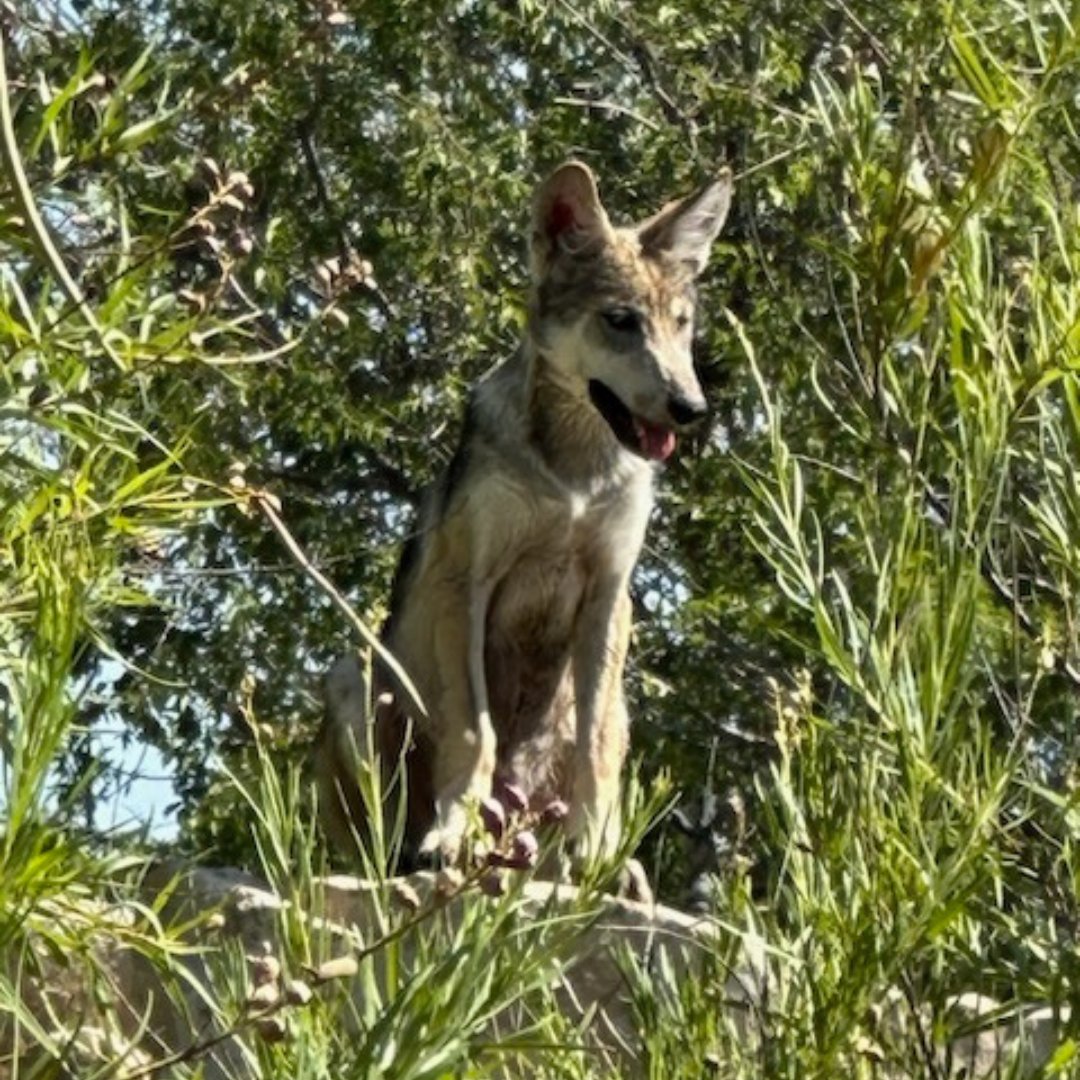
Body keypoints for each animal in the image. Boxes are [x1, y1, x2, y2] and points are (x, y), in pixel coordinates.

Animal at [315, 159, 730, 881]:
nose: (692, 408)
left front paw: (595, 847)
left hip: (615, 708)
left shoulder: (609, 596)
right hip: (352, 676)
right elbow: (473, 729)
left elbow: (593, 748)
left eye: (681, 324)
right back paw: (417, 853)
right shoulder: (468, 586)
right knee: (384, 835)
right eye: (620, 321)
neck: (574, 475)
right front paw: (454, 832)